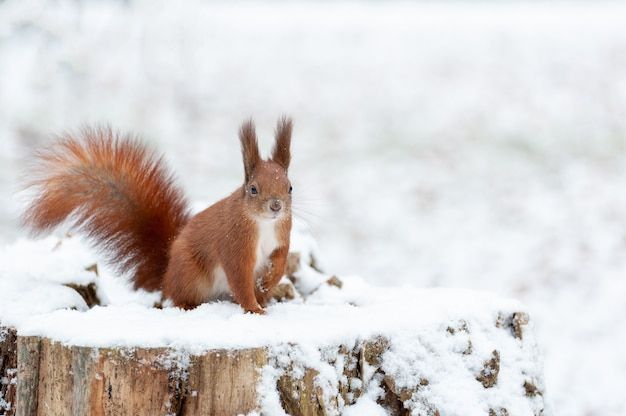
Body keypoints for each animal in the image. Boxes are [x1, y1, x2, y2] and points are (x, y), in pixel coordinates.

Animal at [20, 117, 292, 312]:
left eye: (290, 187)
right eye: (253, 189)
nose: (276, 206)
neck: (264, 224)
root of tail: (166, 276)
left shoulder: (282, 237)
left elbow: (279, 262)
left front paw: (268, 282)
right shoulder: (235, 243)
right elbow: (239, 277)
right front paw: (254, 309)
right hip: (191, 274)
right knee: (180, 296)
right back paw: (188, 305)